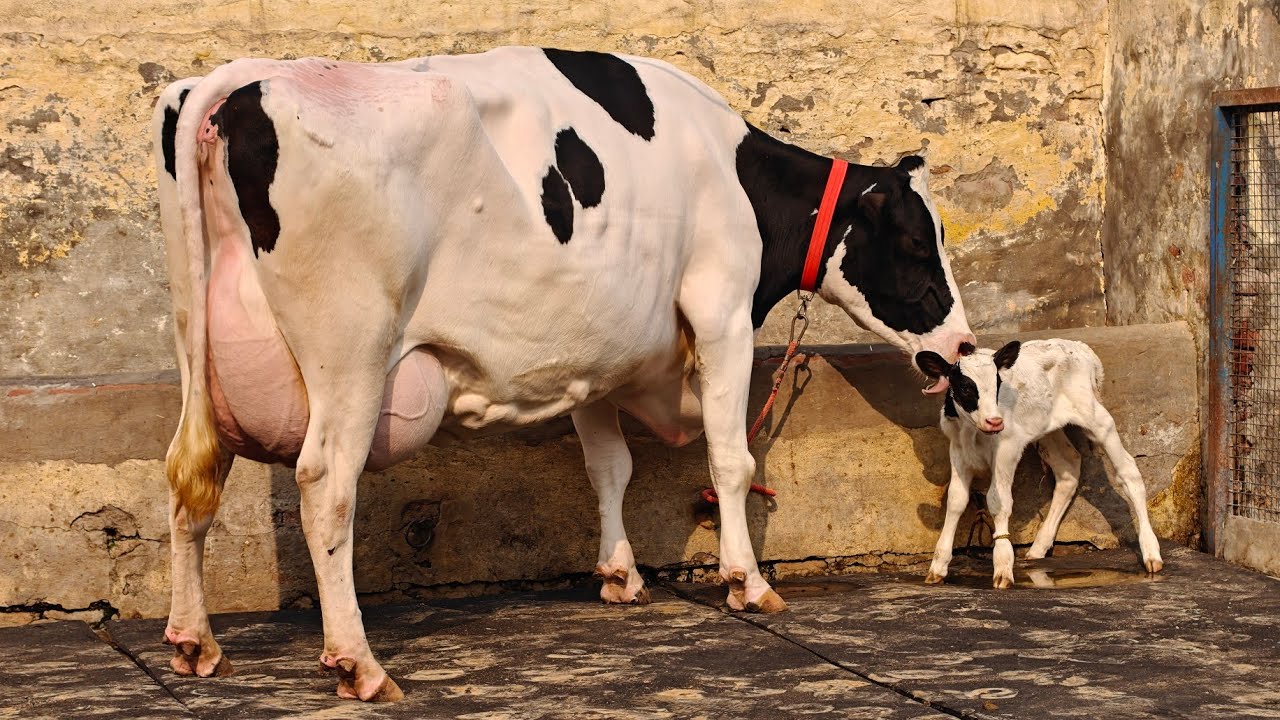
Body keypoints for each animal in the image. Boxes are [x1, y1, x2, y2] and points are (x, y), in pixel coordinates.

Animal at [151, 46, 975, 702]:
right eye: (914, 241)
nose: (963, 345)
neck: (729, 167)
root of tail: (238, 81)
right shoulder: (721, 308)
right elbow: (732, 461)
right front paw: (749, 583)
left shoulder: (594, 352)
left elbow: (608, 466)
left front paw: (618, 575)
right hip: (350, 346)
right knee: (326, 486)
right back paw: (359, 663)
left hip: (198, 346)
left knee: (190, 471)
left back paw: (195, 643)